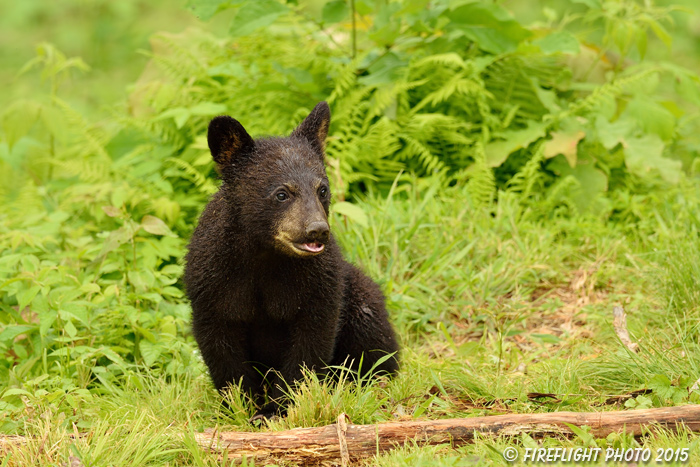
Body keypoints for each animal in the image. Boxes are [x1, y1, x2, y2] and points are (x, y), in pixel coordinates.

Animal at [183, 101, 400, 416]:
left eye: (322, 189)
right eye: (282, 193)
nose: (317, 230)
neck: (266, 256)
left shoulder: (320, 283)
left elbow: (309, 345)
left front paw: (277, 409)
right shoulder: (212, 283)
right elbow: (221, 346)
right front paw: (242, 406)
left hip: (360, 295)